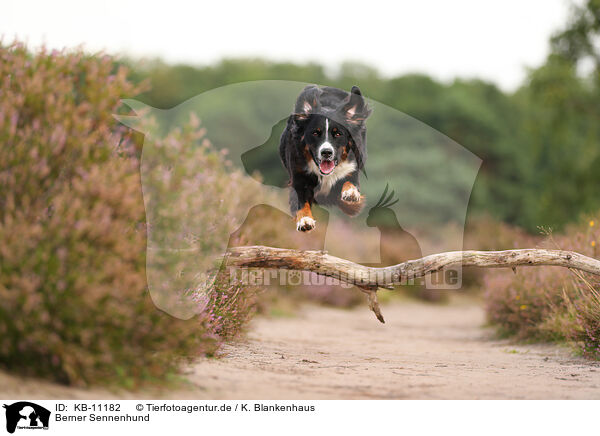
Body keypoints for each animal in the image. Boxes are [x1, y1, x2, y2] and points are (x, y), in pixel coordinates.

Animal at [280, 84, 370, 232]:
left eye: (338, 134)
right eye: (315, 133)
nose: (326, 152)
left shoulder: (352, 168)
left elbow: (349, 183)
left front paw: (351, 193)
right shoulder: (299, 175)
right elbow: (301, 201)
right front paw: (305, 220)